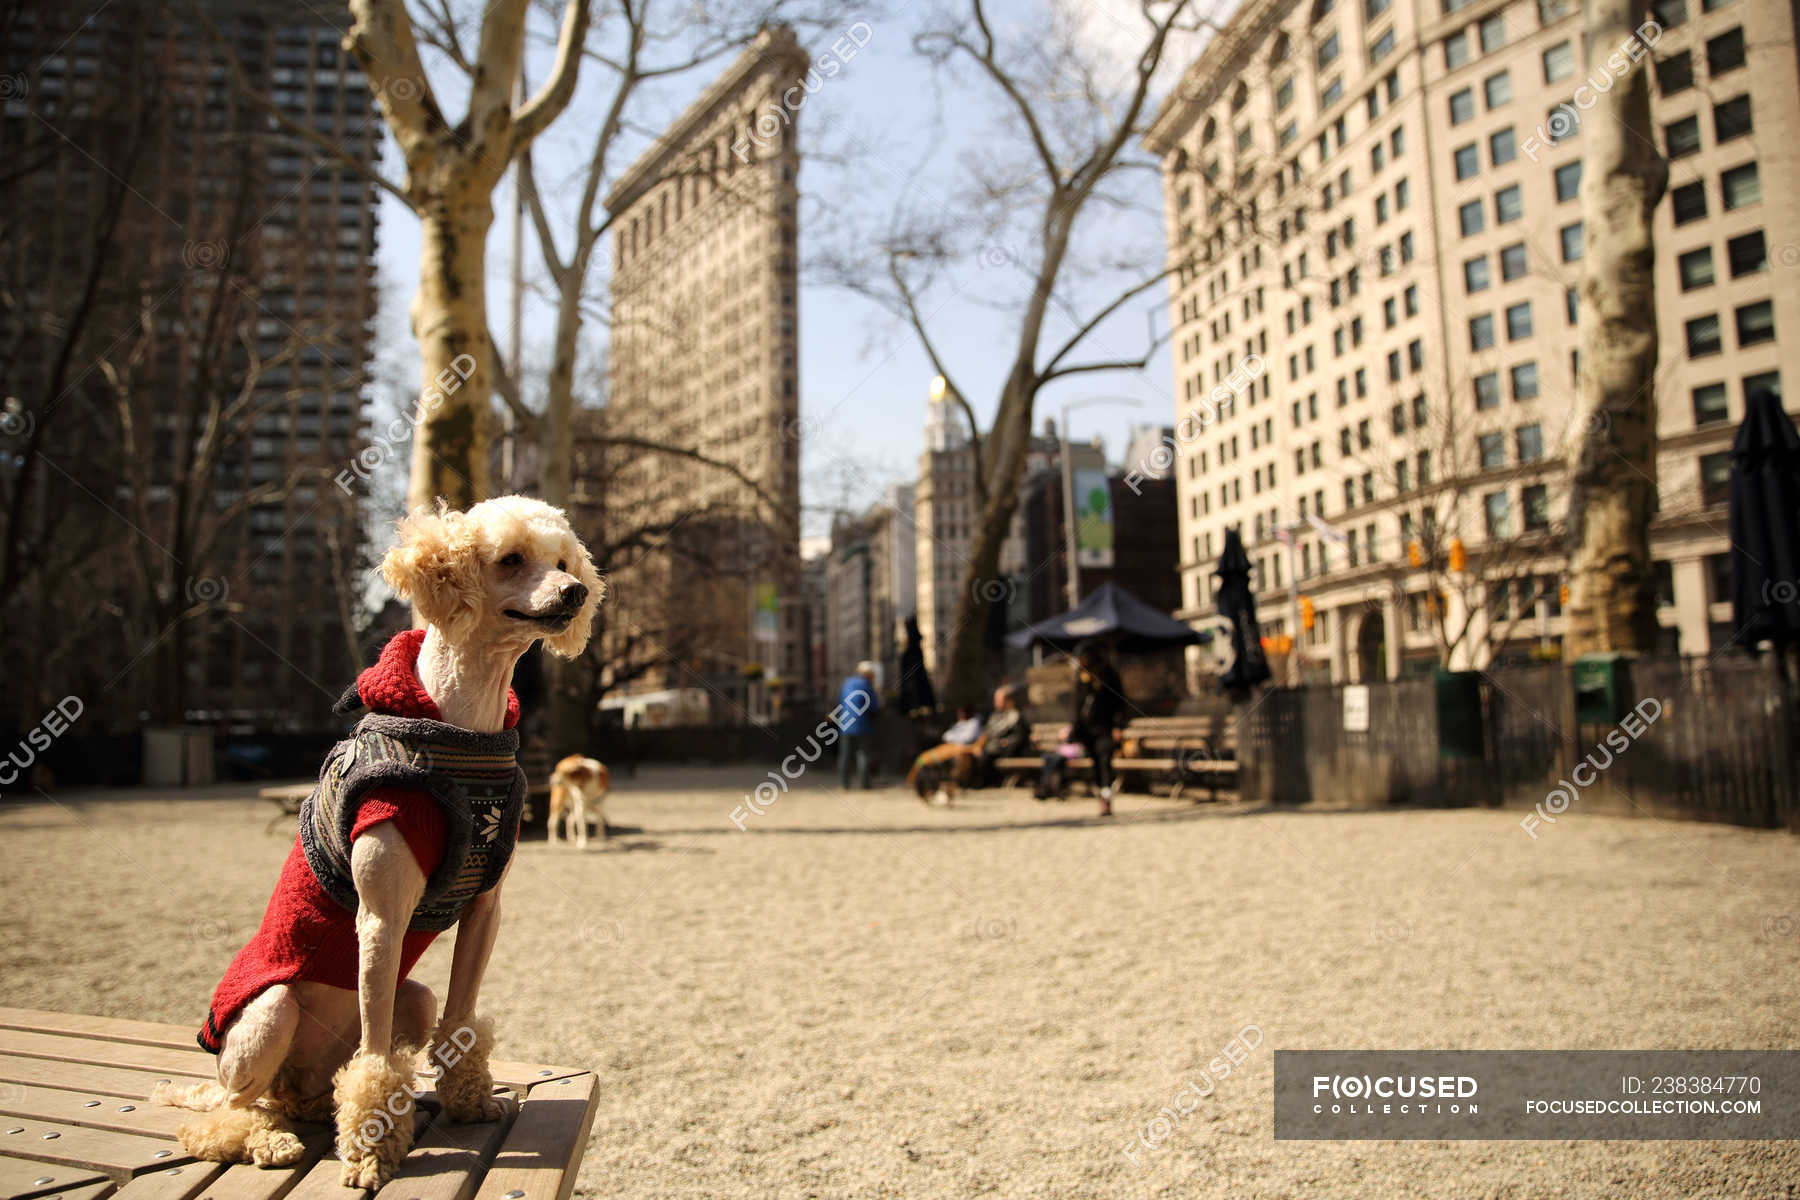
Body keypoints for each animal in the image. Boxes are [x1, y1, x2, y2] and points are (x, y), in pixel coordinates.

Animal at [152, 500, 601, 1194]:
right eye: (510, 559)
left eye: (562, 560)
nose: (575, 592)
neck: (464, 732)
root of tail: (294, 1083)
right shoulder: (382, 919)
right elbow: (373, 1064)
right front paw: (370, 1152)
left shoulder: (484, 911)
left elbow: (462, 1022)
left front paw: (471, 1102)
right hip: (266, 1016)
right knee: (227, 1111)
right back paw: (266, 1139)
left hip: (409, 1001)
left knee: (310, 1088)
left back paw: (311, 1109)